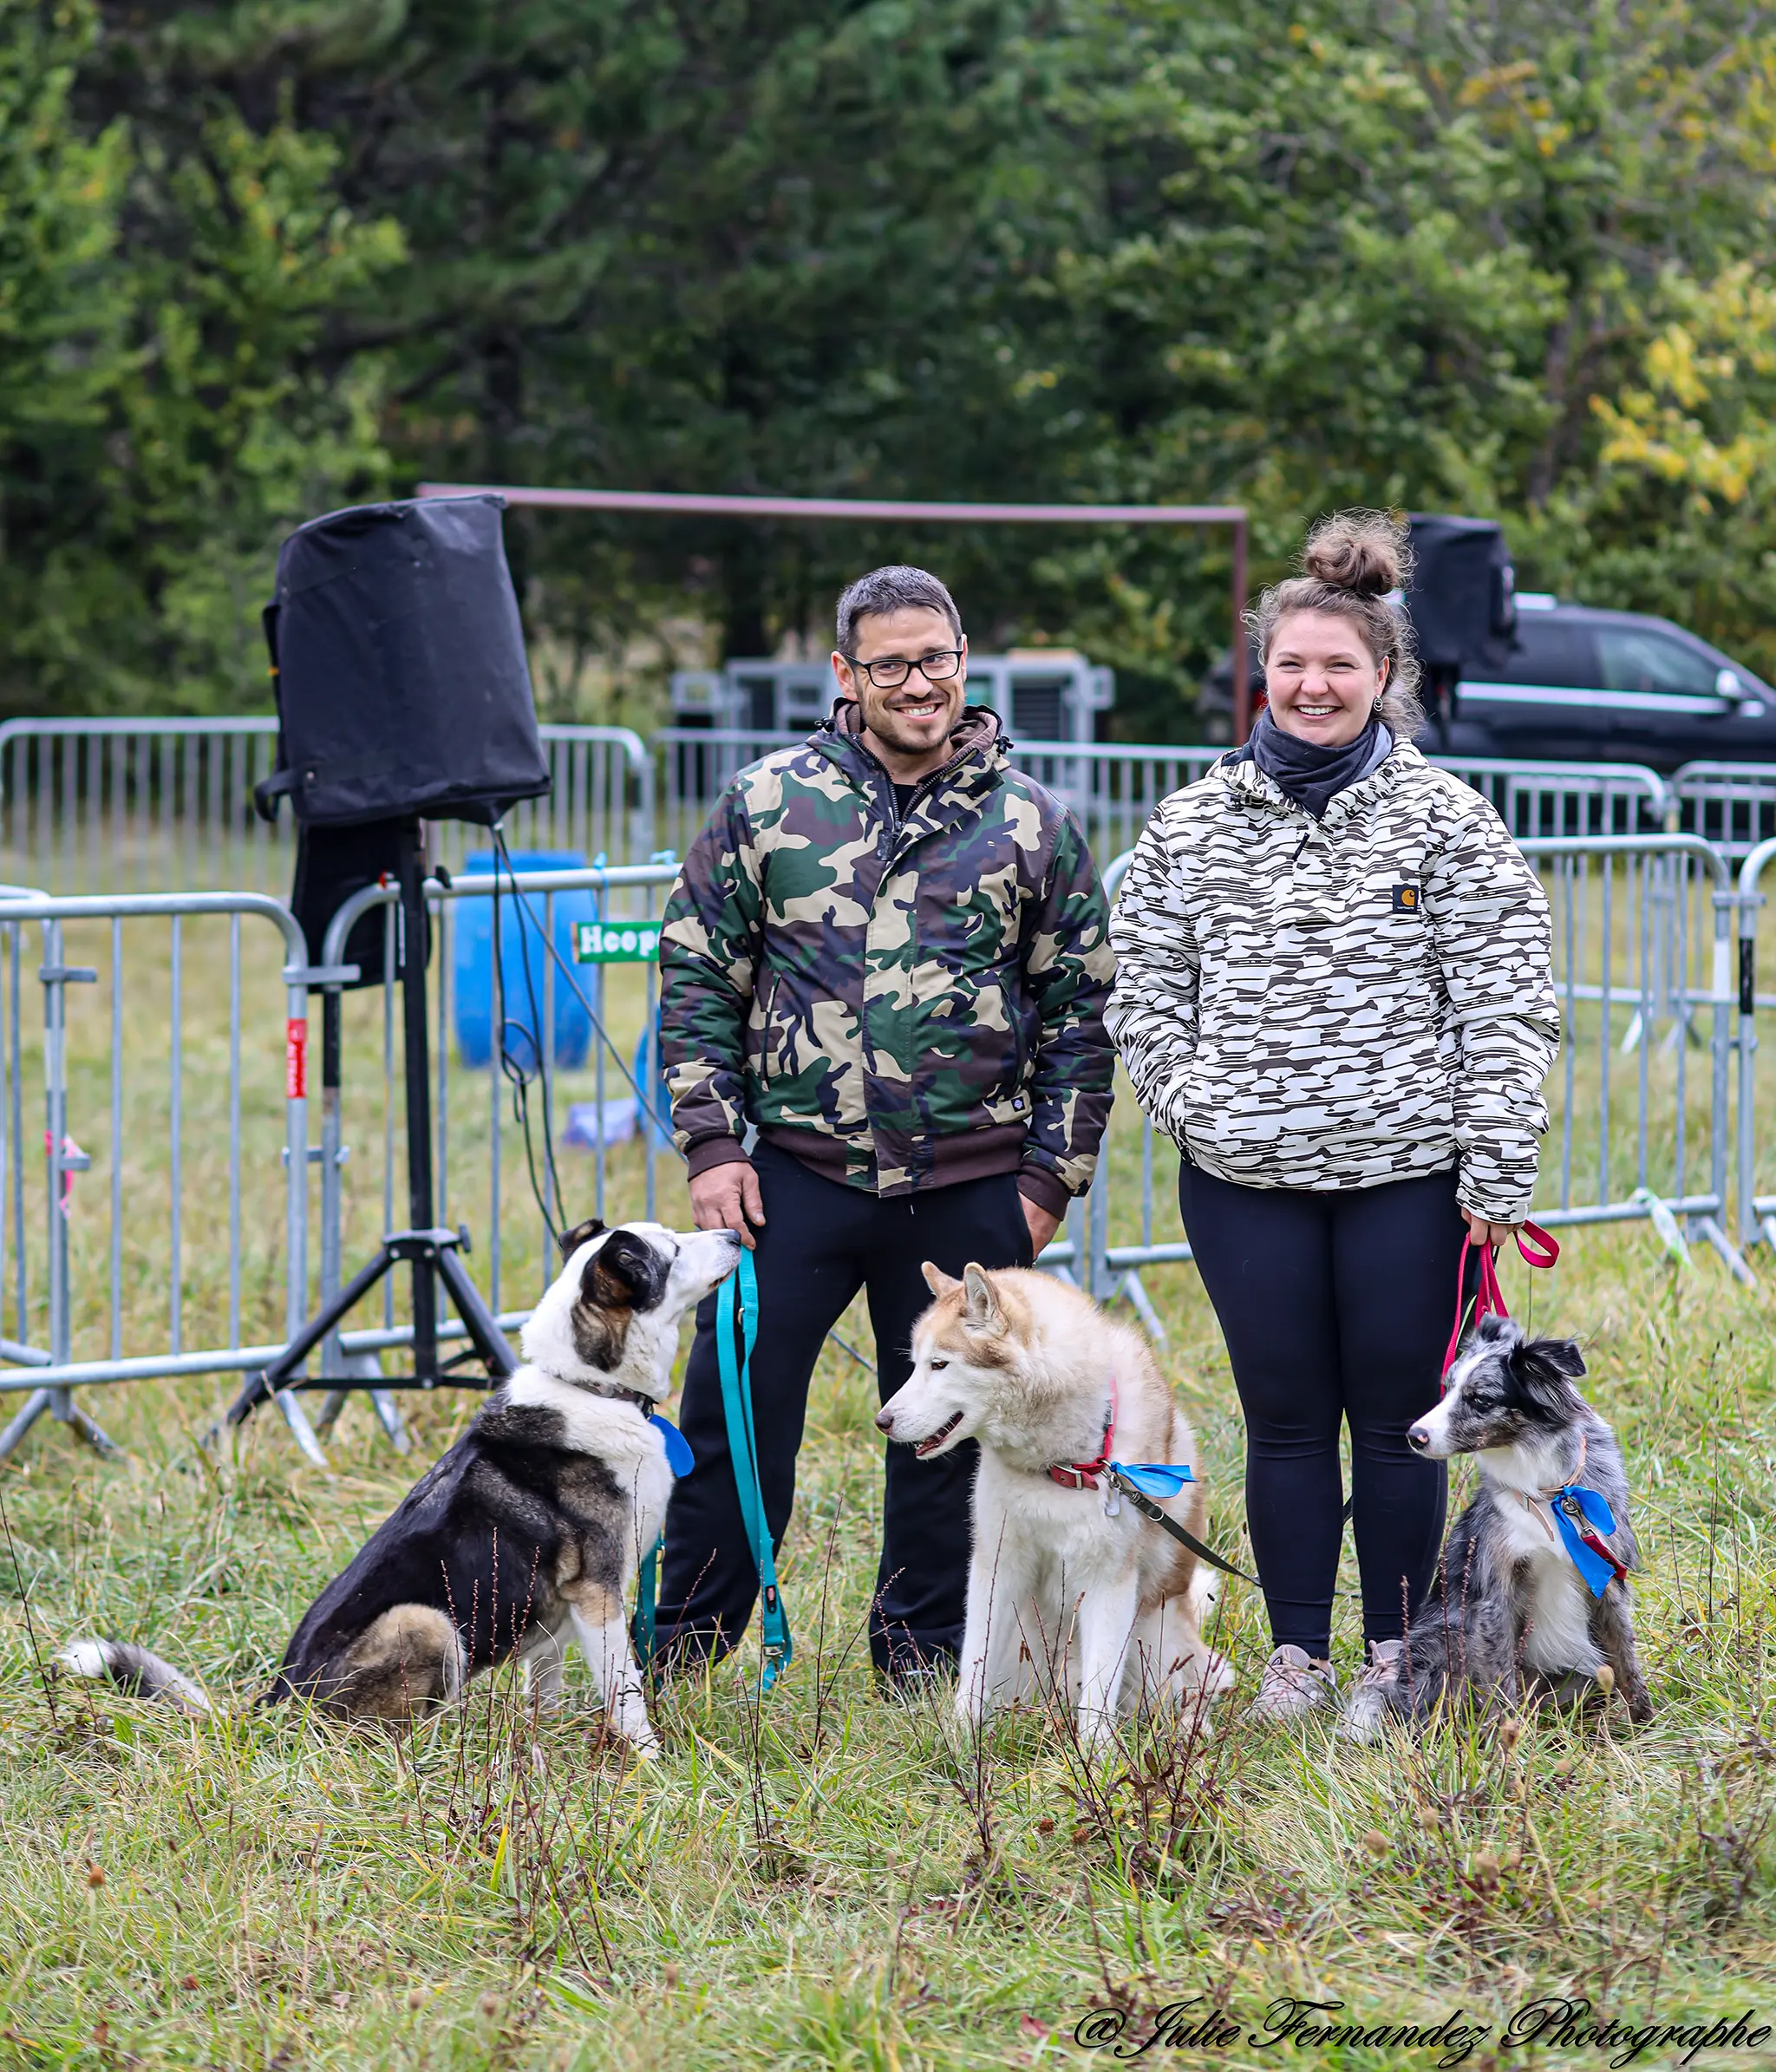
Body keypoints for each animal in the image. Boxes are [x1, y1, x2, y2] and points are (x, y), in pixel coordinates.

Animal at [60, 1210, 741, 1748]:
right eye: (672, 1249)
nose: (737, 1231)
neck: (590, 1387)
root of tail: (275, 1704)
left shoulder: (558, 1606)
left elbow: (543, 1689)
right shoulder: (598, 1591)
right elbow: (626, 1695)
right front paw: (648, 1762)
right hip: (428, 1623)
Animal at [870, 1259, 1226, 1748]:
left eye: (939, 1364)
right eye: (915, 1365)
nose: (881, 1421)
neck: (1059, 1466)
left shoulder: (1108, 1581)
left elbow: (1098, 1688)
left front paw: (1096, 1756)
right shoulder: (997, 1566)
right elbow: (975, 1664)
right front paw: (961, 1739)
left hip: (1157, 1642)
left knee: (1187, 1691)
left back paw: (1190, 1730)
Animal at [1342, 1317, 1649, 1740]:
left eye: (1481, 1400)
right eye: (1447, 1389)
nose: (1414, 1436)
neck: (1547, 1492)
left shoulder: (1606, 1575)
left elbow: (1626, 1656)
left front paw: (1646, 1729)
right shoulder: (1494, 1594)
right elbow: (1501, 1681)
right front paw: (1505, 1744)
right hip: (1444, 1636)